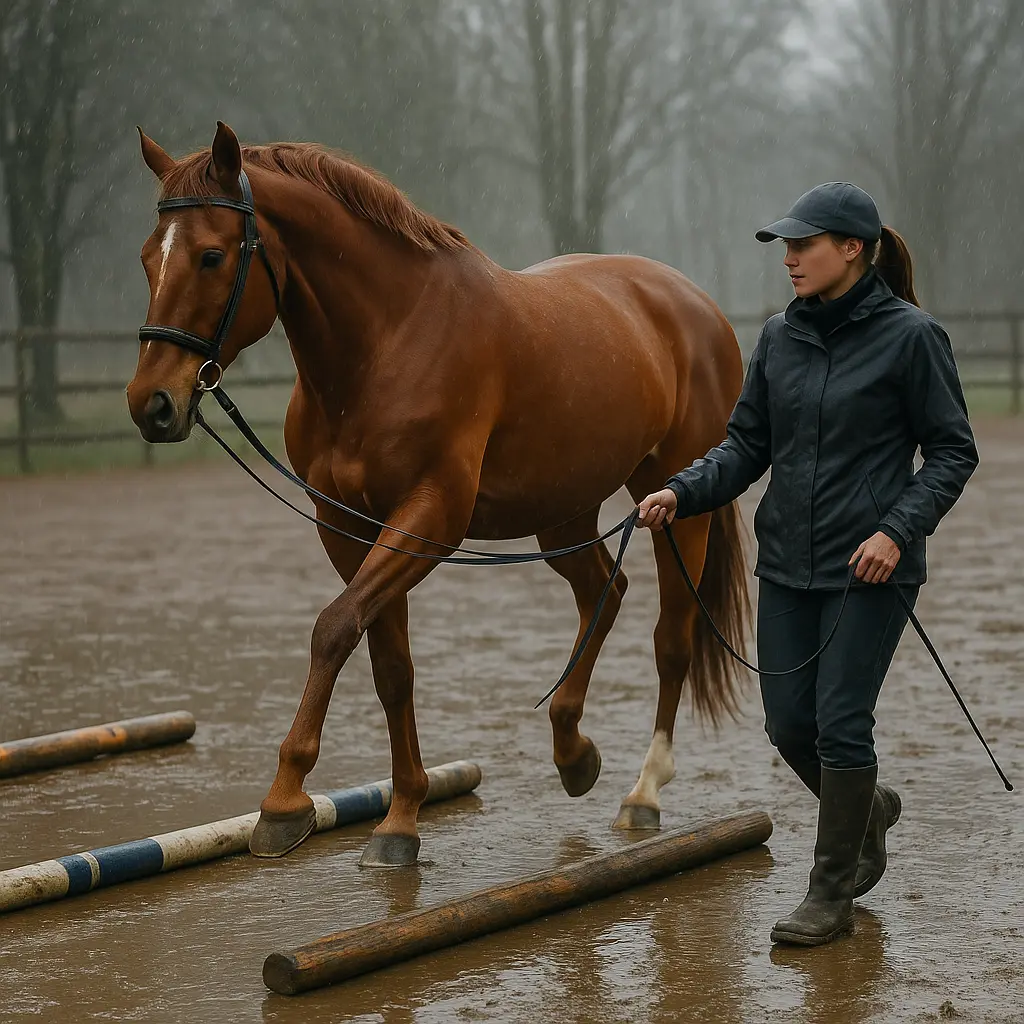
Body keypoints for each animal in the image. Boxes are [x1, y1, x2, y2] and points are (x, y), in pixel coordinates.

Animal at [126, 122, 749, 866]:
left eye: (212, 256)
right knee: (605, 591)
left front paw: (284, 802)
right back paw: (572, 751)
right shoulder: (348, 528)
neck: (388, 343)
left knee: (671, 638)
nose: (151, 404)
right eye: (147, 260)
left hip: (675, 504)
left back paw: (644, 792)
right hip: (561, 512)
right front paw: (400, 817)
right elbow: (387, 663)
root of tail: (698, 304)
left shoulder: (429, 519)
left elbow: (332, 627)